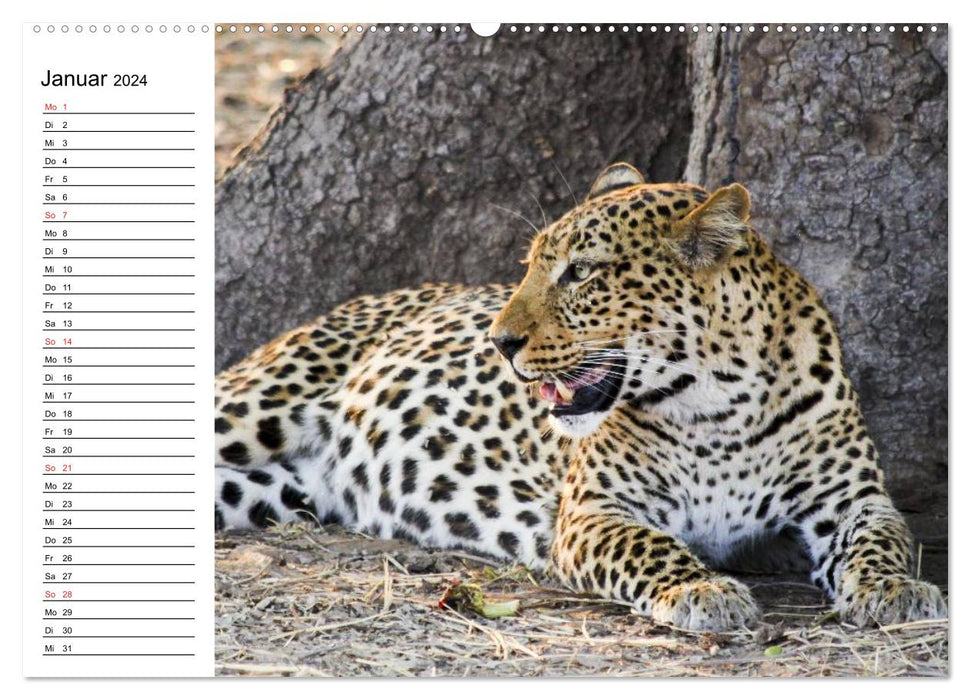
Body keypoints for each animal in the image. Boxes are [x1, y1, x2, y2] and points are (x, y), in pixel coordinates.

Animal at [215, 161, 948, 632]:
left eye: (581, 273)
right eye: (529, 265)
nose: (499, 341)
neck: (720, 407)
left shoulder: (851, 499)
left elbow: (883, 540)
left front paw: (897, 589)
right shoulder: (594, 511)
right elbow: (649, 548)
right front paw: (701, 588)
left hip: (272, 489)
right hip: (252, 405)